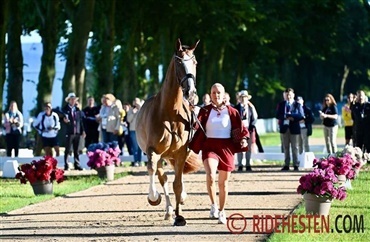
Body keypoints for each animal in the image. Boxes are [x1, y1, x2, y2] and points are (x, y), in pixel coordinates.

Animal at [135, 38, 201, 226]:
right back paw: (168, 209)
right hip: (160, 156)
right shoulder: (152, 151)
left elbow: (177, 184)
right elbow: (153, 172)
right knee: (161, 176)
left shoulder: (181, 152)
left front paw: (180, 216)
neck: (170, 113)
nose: (191, 92)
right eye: (179, 62)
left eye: (195, 62)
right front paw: (154, 198)